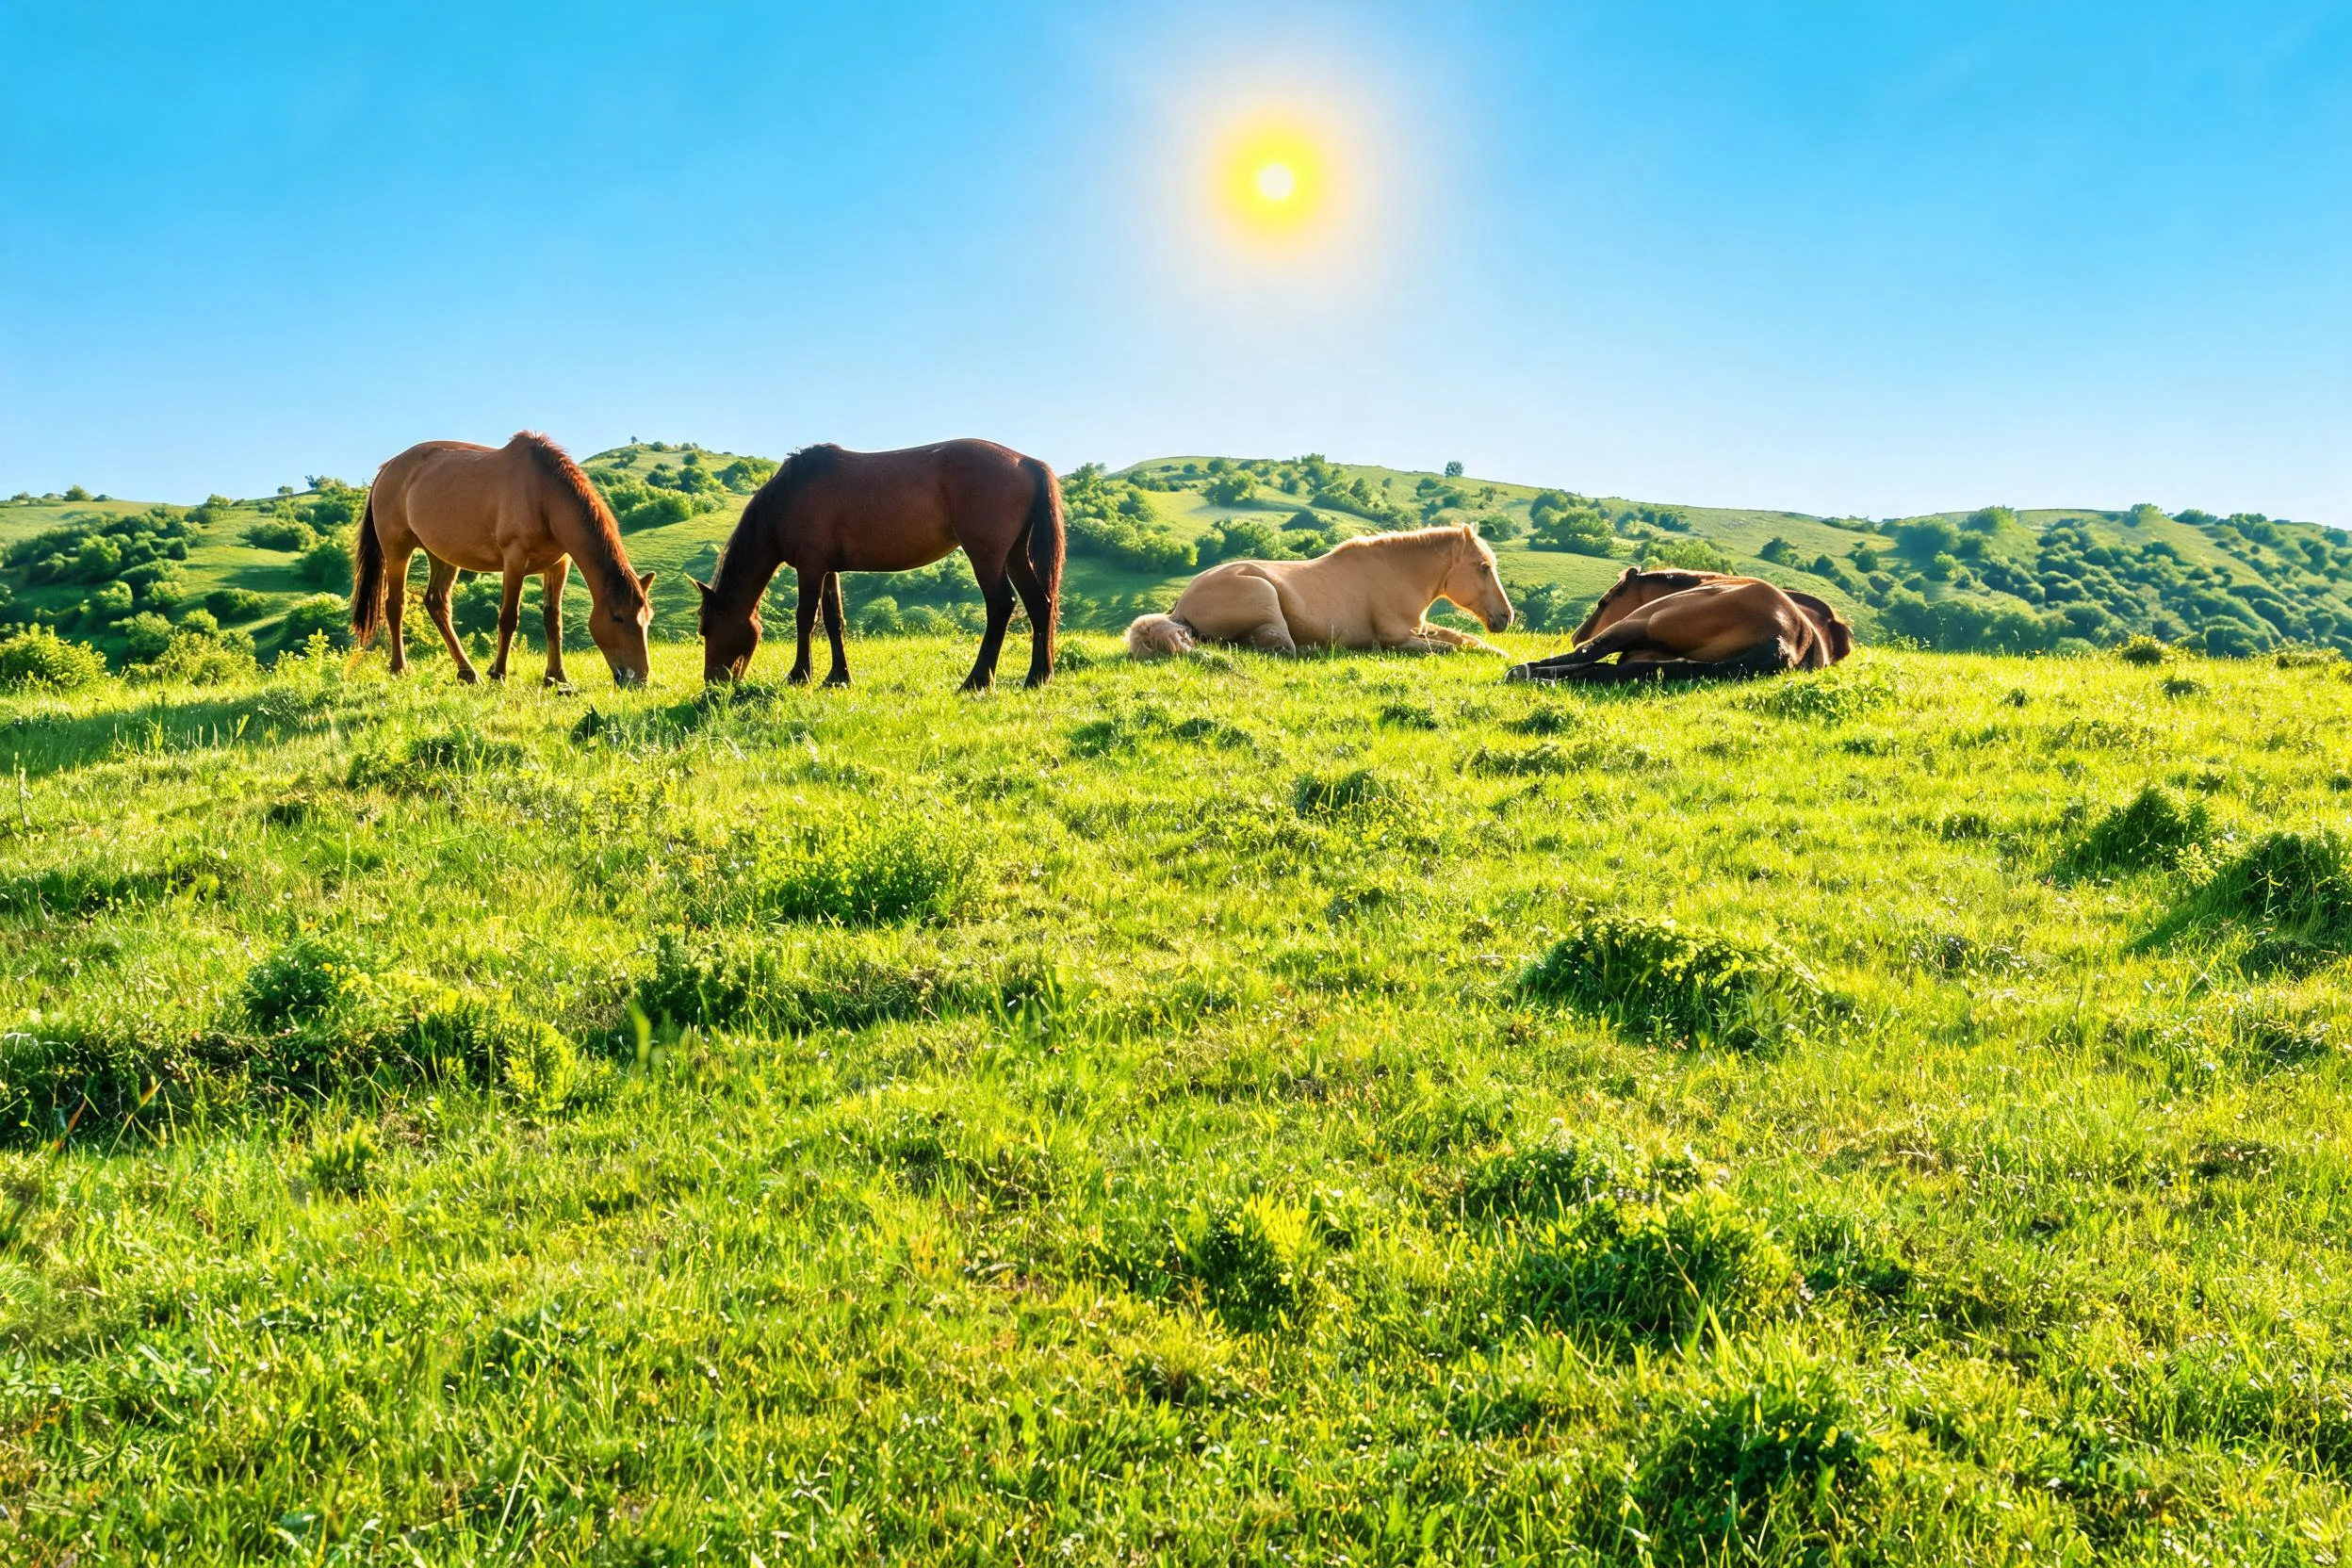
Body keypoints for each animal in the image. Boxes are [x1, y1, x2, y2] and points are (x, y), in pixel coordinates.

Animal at [352, 432, 656, 687]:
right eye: (617, 617)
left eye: (647, 618)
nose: (639, 679)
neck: (543, 494)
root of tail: (387, 468)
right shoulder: (514, 560)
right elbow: (508, 617)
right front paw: (498, 672)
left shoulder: (559, 565)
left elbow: (553, 620)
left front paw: (556, 677)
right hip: (397, 550)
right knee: (395, 605)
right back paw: (400, 667)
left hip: (441, 555)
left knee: (438, 604)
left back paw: (467, 672)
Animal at [696, 440, 1063, 690]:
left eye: (706, 629)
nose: (713, 685)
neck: (787, 495)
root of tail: (1025, 462)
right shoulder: (828, 568)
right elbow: (834, 620)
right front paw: (838, 677)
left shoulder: (810, 565)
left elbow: (805, 618)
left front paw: (800, 675)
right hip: (1014, 555)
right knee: (1039, 604)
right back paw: (1038, 676)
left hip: (986, 556)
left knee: (1001, 606)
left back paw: (977, 680)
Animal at [1124, 524, 1515, 659]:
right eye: (1483, 567)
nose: (1506, 617)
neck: (1395, 573)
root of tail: (1181, 606)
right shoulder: (1399, 639)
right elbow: (1450, 648)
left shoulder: (1419, 627)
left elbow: (1465, 639)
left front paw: (1499, 652)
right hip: (1264, 596)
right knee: (1278, 648)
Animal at [1507, 566, 1853, 684]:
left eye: (1603, 602)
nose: (1576, 635)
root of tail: (1787, 639)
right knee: (1600, 669)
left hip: (1641, 622)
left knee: (1590, 655)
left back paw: (1525, 673)